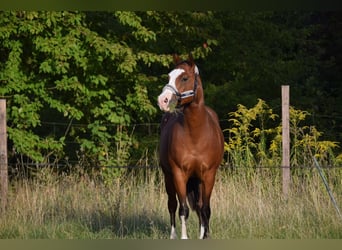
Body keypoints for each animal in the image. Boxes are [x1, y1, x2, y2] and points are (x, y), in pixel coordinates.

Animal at [158, 54, 224, 238]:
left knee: (200, 207)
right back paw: (173, 235)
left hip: (198, 179)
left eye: (185, 78)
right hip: (168, 176)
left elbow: (205, 209)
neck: (196, 135)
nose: (163, 100)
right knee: (172, 205)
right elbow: (183, 210)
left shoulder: (209, 175)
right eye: (169, 76)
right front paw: (184, 237)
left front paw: (205, 236)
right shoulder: (179, 174)